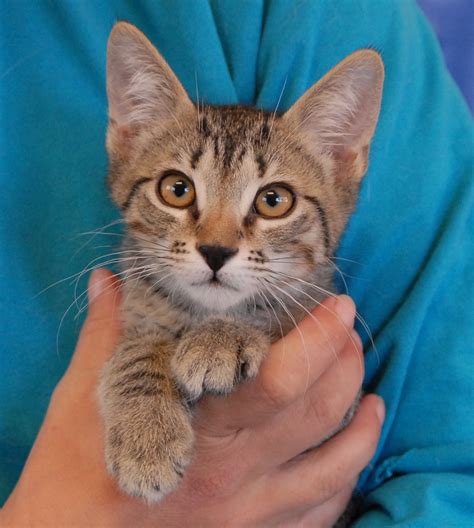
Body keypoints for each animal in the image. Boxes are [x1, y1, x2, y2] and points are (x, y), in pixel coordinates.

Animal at [98, 21, 384, 504]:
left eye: (274, 200)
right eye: (176, 189)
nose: (216, 250)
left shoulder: (343, 404)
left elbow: (275, 313)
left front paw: (223, 337)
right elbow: (139, 344)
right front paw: (146, 429)